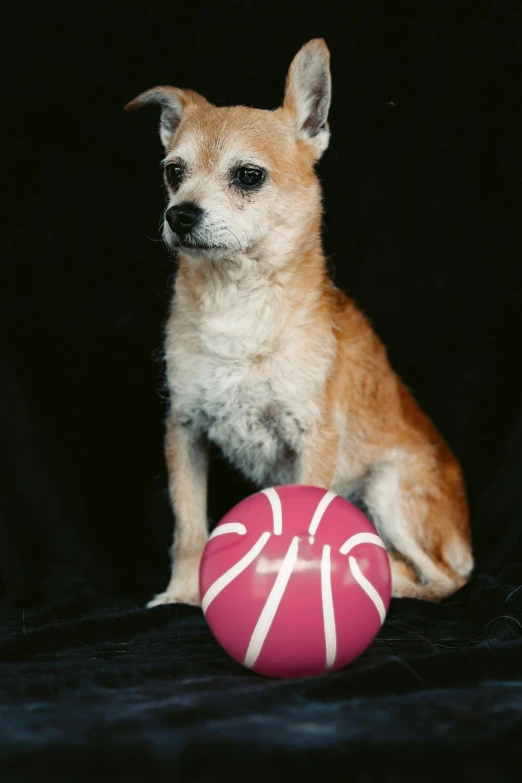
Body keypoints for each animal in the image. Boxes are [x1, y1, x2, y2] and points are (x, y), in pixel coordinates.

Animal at [126, 39, 472, 608]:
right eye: (173, 172)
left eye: (248, 176)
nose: (179, 214)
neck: (237, 302)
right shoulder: (185, 430)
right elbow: (189, 526)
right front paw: (181, 593)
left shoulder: (313, 439)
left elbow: (304, 526)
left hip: (386, 488)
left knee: (443, 579)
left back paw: (386, 580)